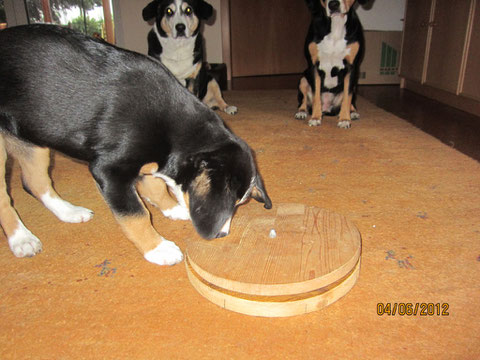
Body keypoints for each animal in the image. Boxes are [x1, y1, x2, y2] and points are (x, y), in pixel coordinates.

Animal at [0, 24, 270, 264]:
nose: (221, 234)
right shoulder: (110, 171)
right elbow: (136, 214)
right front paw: (158, 248)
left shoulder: (148, 161)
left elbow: (156, 187)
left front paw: (172, 208)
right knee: (7, 196)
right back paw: (22, 238)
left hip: (33, 137)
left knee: (35, 182)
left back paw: (70, 212)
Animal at [292, 0, 368, 129]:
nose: (333, 4)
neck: (336, 25)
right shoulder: (314, 66)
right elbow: (316, 95)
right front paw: (315, 118)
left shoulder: (352, 68)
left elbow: (347, 97)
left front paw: (344, 119)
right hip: (303, 79)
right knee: (303, 100)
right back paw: (301, 111)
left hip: (354, 84)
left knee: (350, 98)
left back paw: (352, 112)